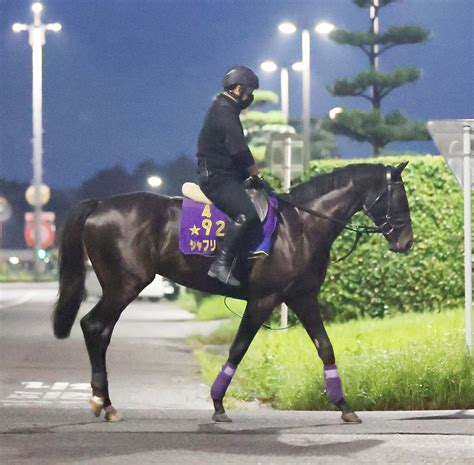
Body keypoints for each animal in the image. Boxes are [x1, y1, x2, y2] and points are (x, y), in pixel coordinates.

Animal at [53, 161, 412, 422]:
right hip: (125, 284)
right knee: (94, 326)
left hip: (120, 287)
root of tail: (100, 204)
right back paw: (103, 401)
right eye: (399, 197)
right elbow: (238, 349)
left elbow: (325, 348)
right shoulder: (264, 299)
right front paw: (217, 404)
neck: (299, 225)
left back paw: (104, 401)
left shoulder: (302, 297)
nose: (406, 242)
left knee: (100, 330)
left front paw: (344, 406)